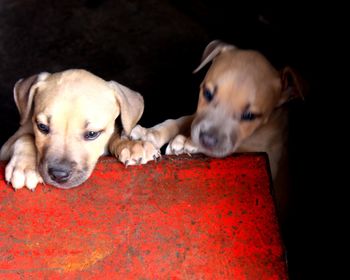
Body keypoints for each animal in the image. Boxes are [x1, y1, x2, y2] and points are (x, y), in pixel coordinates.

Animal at [0, 68, 159, 190]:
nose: (58, 175)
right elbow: (25, 137)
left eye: (92, 134)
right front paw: (25, 167)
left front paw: (132, 145)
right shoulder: (5, 148)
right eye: (42, 127)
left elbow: (116, 134)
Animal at [131, 39, 304, 214]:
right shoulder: (197, 117)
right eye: (207, 93)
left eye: (250, 116)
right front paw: (150, 134)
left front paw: (187, 142)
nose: (206, 140)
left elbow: (235, 147)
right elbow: (181, 120)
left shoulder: (268, 151)